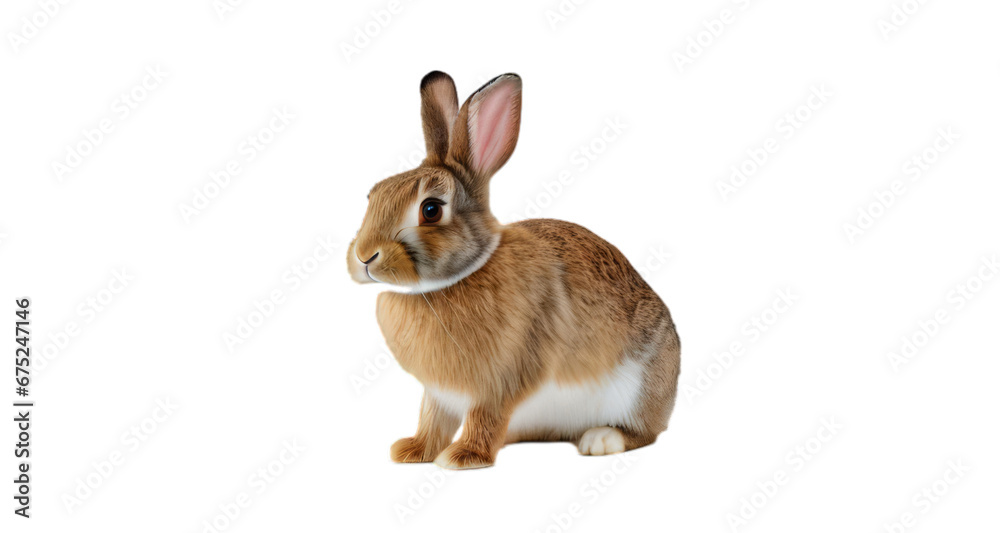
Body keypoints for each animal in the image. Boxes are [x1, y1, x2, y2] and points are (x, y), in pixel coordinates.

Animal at [347, 71, 680, 469]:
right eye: (373, 196)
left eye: (431, 210)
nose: (364, 256)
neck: (453, 281)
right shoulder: (438, 393)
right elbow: (431, 419)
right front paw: (412, 450)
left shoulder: (502, 380)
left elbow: (484, 417)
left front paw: (463, 456)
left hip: (639, 387)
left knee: (645, 432)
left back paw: (601, 439)